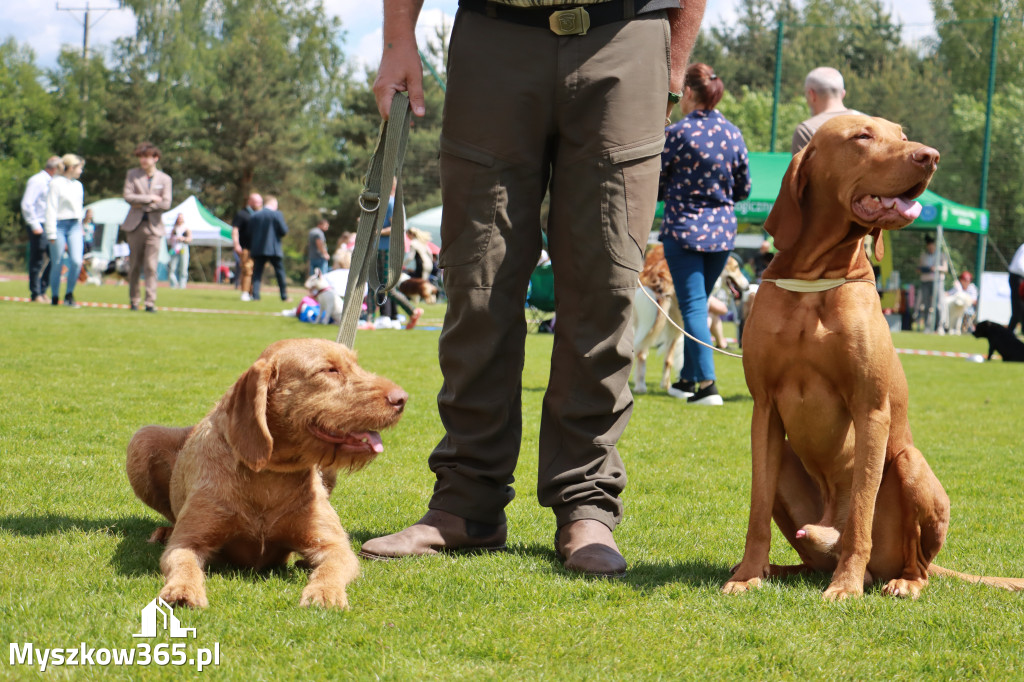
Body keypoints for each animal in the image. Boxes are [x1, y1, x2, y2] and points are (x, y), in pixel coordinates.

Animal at [130, 337, 409, 606]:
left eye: (356, 364)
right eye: (329, 370)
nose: (402, 398)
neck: (269, 475)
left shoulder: (335, 546)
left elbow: (331, 568)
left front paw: (324, 592)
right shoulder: (188, 541)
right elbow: (184, 563)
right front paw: (182, 589)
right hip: (142, 439)